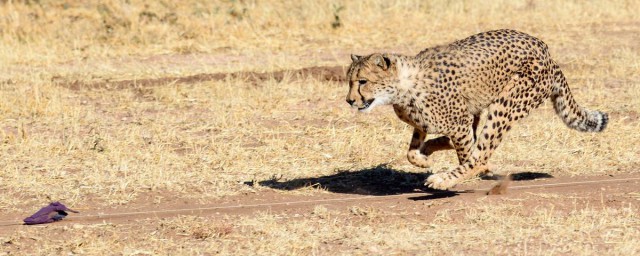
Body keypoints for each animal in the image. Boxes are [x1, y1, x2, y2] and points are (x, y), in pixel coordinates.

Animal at [348, 29, 608, 190]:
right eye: (349, 81)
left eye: (362, 81)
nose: (349, 100)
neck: (403, 87)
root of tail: (545, 50)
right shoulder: (431, 123)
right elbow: (412, 151)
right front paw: (423, 157)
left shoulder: (460, 122)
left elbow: (467, 154)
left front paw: (455, 176)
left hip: (506, 103)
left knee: (480, 156)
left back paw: (446, 179)